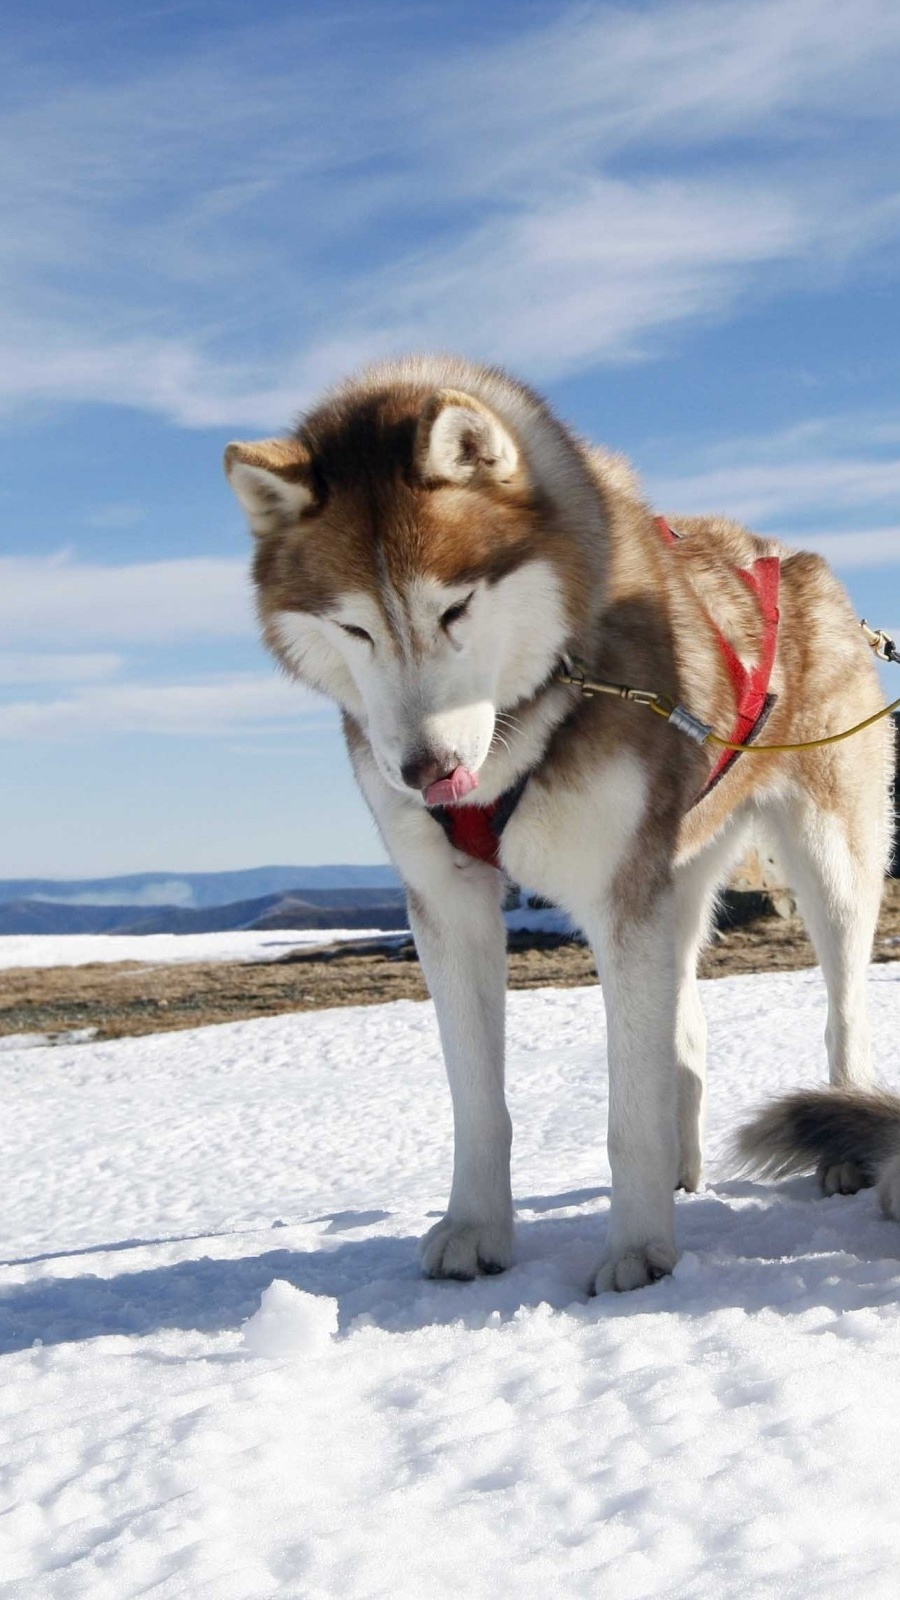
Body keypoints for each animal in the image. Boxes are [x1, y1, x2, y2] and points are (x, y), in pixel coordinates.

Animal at [222, 356, 890, 1292]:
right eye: (353, 626)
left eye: (456, 608)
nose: (426, 773)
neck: (531, 709)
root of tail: (790, 561)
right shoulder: (449, 903)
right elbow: (478, 1102)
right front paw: (476, 1227)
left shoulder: (617, 896)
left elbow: (627, 1111)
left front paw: (638, 1250)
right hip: (678, 869)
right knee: (686, 1021)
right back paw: (685, 1165)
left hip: (828, 860)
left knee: (841, 1010)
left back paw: (844, 1143)